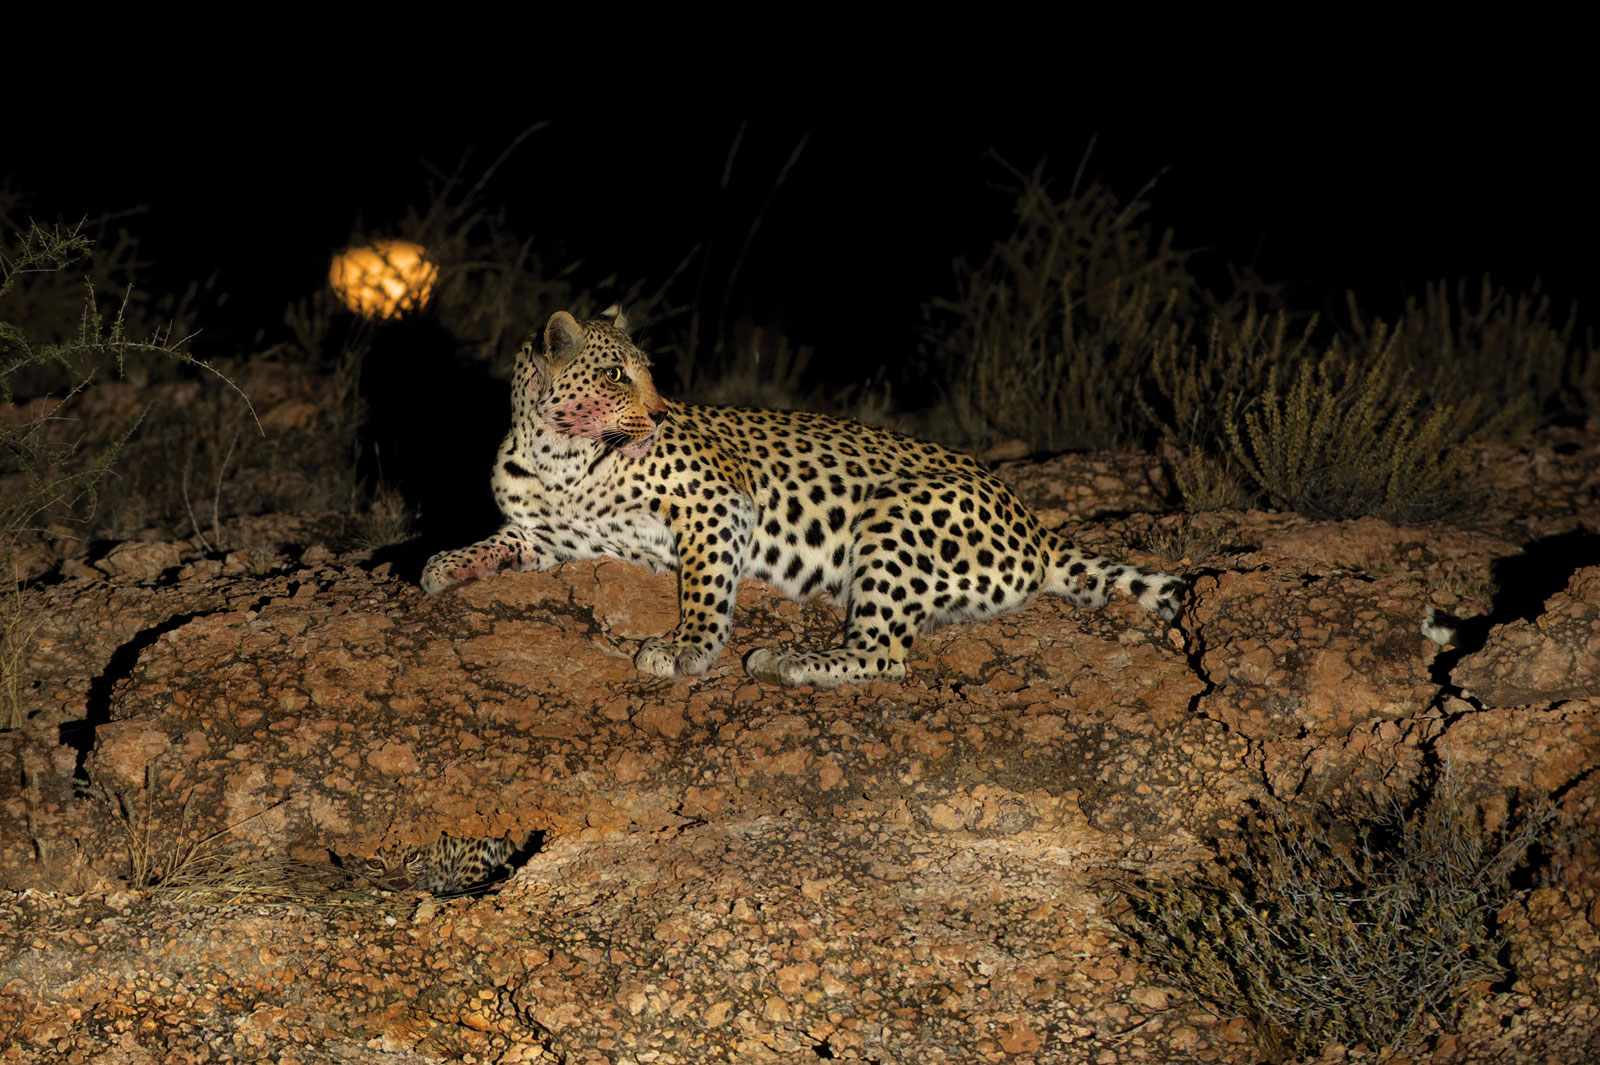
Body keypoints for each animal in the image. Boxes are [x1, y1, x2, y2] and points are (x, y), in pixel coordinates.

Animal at [419, 307, 1184, 687]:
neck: (561, 457)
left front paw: (688, 648)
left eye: (650, 373)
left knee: (885, 654)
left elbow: (705, 589)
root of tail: (1035, 521)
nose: (662, 413)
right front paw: (444, 564)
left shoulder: (717, 503)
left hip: (897, 521)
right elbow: (499, 539)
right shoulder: (549, 536)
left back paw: (787, 661)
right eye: (614, 374)